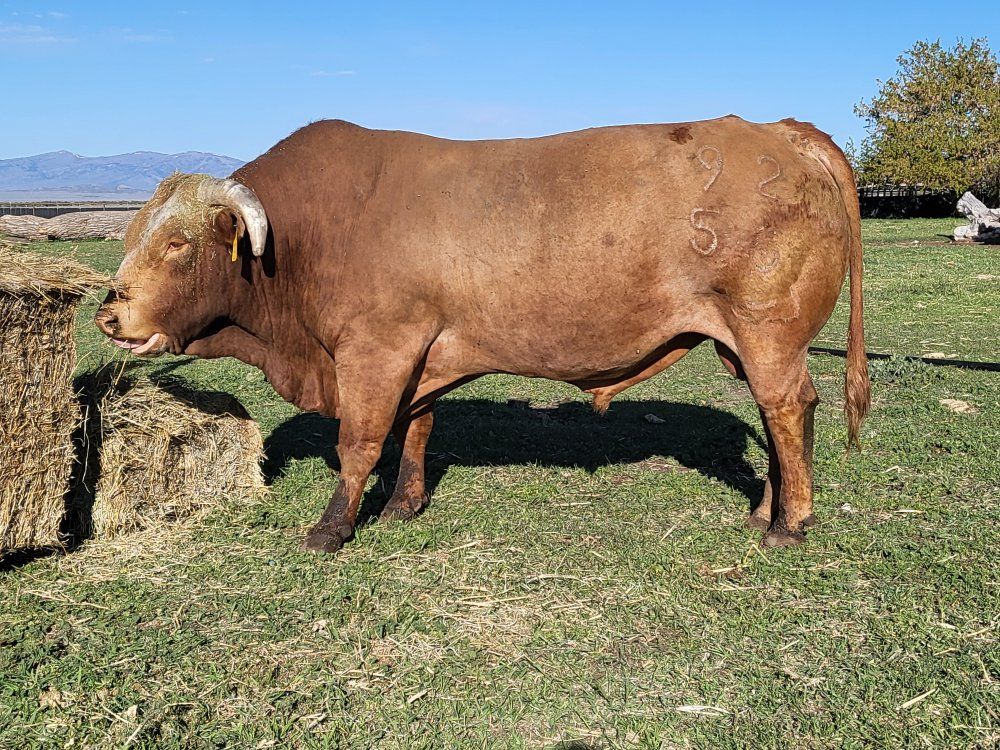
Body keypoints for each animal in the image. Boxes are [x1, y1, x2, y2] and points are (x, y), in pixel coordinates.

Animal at [95, 117, 870, 553]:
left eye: (177, 244)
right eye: (131, 238)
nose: (110, 314)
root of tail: (777, 128)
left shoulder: (375, 349)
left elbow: (360, 442)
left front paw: (332, 527)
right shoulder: (420, 353)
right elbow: (415, 428)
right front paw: (402, 506)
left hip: (767, 332)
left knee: (789, 409)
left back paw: (788, 525)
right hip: (744, 343)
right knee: (778, 421)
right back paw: (767, 509)